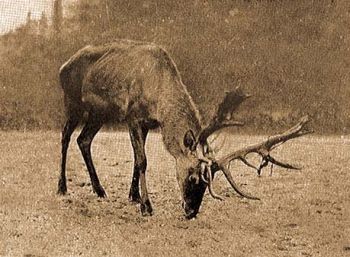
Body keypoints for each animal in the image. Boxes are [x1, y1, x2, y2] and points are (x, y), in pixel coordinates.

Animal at [57, 38, 312, 218]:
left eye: (208, 183)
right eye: (193, 177)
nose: (191, 212)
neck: (159, 98)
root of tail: (62, 66)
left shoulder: (148, 123)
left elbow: (136, 160)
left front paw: (134, 196)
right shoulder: (133, 116)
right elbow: (142, 161)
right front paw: (147, 206)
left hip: (100, 113)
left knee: (84, 140)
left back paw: (99, 190)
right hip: (73, 102)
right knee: (66, 136)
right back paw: (62, 188)